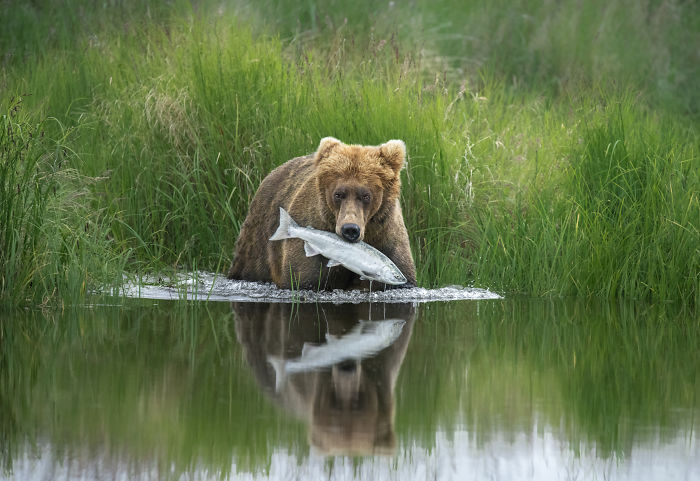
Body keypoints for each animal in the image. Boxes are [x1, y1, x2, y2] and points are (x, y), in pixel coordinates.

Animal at [227, 137, 416, 290]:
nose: (350, 229)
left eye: (366, 195)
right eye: (338, 194)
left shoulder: (387, 238)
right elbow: (304, 279)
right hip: (258, 239)